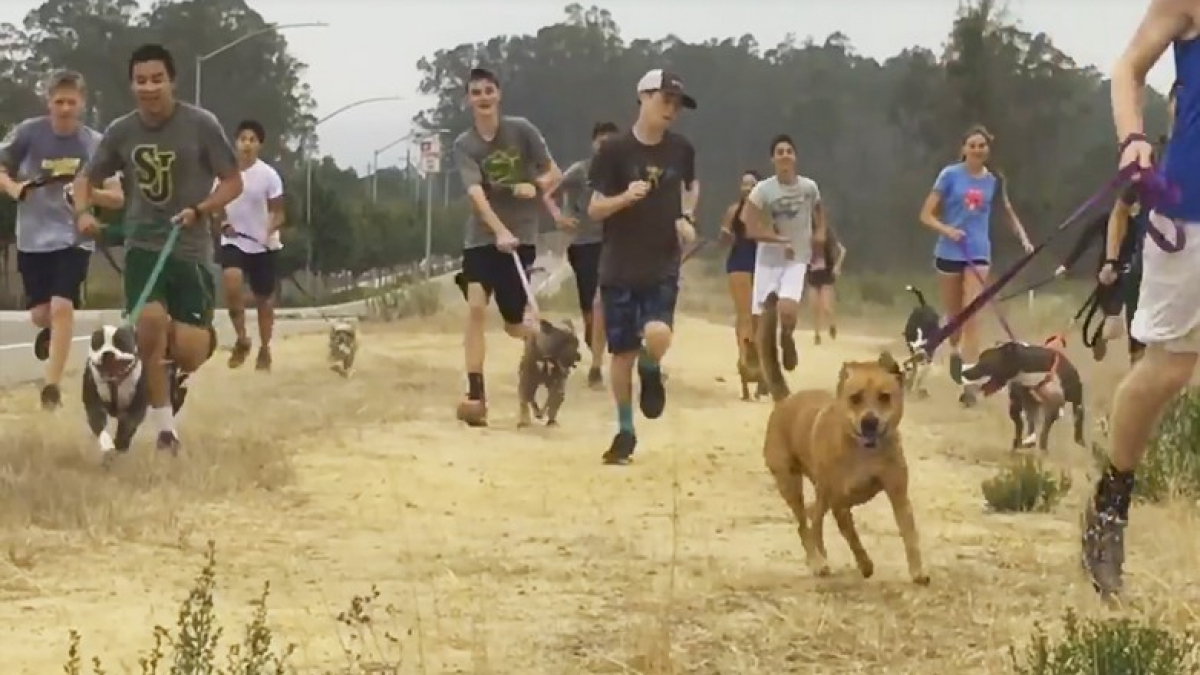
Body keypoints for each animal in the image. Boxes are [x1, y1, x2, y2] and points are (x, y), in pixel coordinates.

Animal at [758, 294, 926, 583]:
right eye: (855, 398)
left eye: (885, 397)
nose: (869, 422)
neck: (864, 452)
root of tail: (785, 401)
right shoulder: (837, 501)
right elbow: (849, 535)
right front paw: (862, 564)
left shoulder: (898, 493)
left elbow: (909, 534)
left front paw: (917, 571)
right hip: (790, 483)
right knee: (805, 523)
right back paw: (817, 561)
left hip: (822, 493)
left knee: (814, 517)